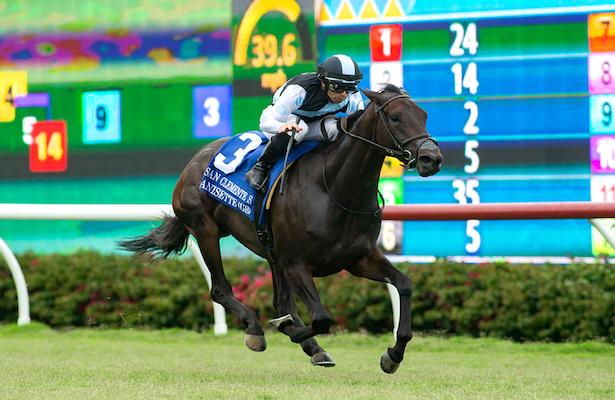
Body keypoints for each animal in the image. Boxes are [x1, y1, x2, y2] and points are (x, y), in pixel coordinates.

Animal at [120, 83, 442, 374]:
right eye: (396, 117)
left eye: (424, 114)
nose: (432, 158)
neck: (334, 188)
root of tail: (196, 158)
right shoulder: (296, 263)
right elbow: (321, 318)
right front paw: (290, 331)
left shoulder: (358, 259)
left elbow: (404, 285)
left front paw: (393, 355)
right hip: (206, 230)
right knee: (220, 290)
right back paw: (255, 328)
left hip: (271, 251)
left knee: (280, 300)